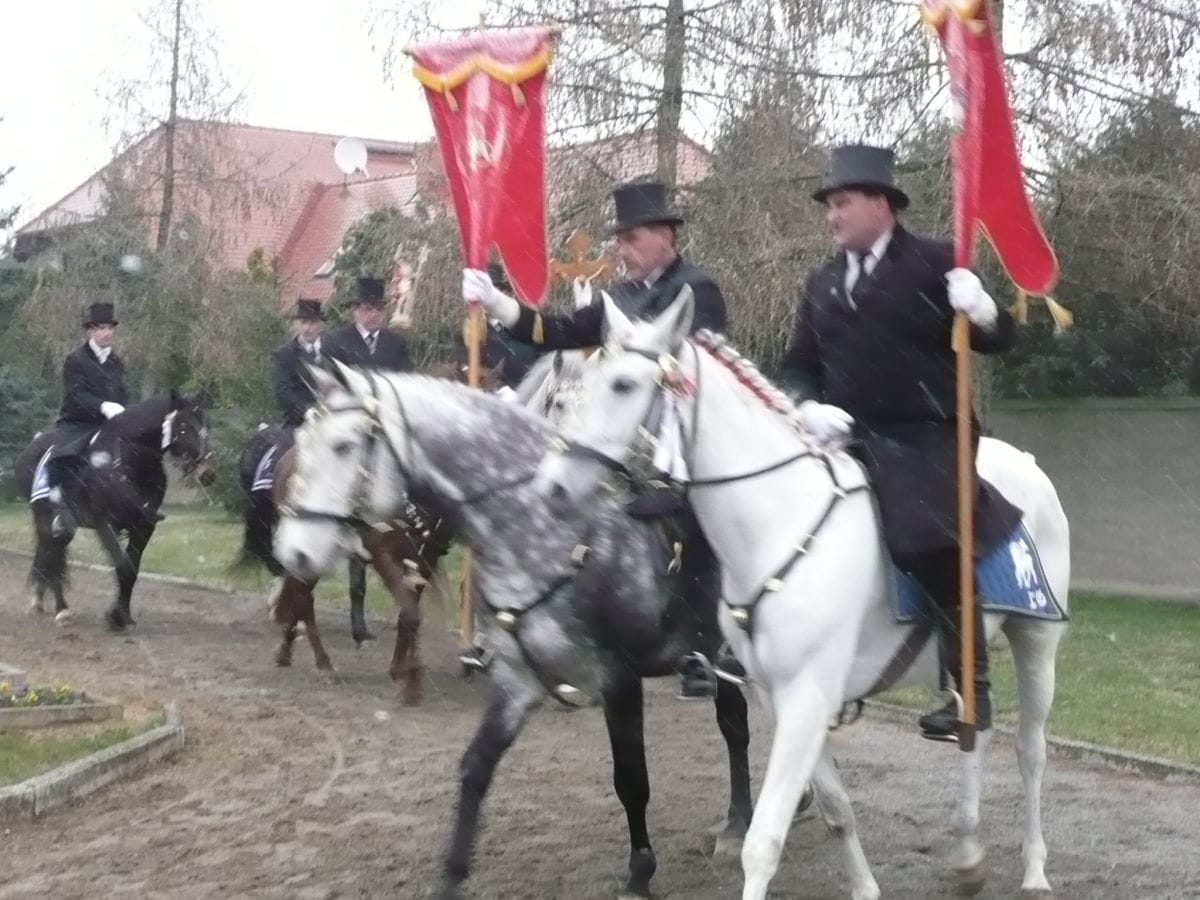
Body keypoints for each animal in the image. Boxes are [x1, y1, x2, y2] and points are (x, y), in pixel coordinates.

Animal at [535, 289, 1070, 900]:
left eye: (623, 385)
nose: (552, 489)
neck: (777, 522)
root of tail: (1026, 464)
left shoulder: (806, 697)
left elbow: (763, 840)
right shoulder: (777, 696)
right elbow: (836, 808)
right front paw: (865, 889)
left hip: (1037, 641)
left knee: (1030, 752)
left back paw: (1034, 870)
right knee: (973, 730)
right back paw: (966, 853)